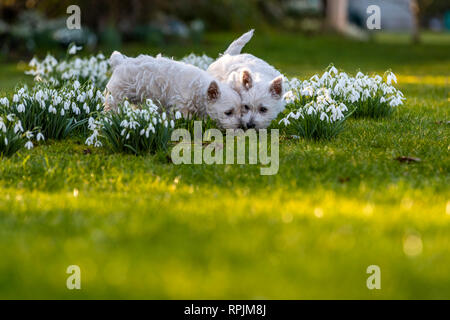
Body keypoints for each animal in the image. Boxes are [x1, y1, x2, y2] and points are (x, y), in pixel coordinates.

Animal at [105, 51, 243, 129]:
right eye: (228, 112)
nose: (240, 126)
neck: (198, 89)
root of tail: (120, 62)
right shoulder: (179, 105)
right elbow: (185, 119)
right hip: (116, 95)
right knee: (111, 108)